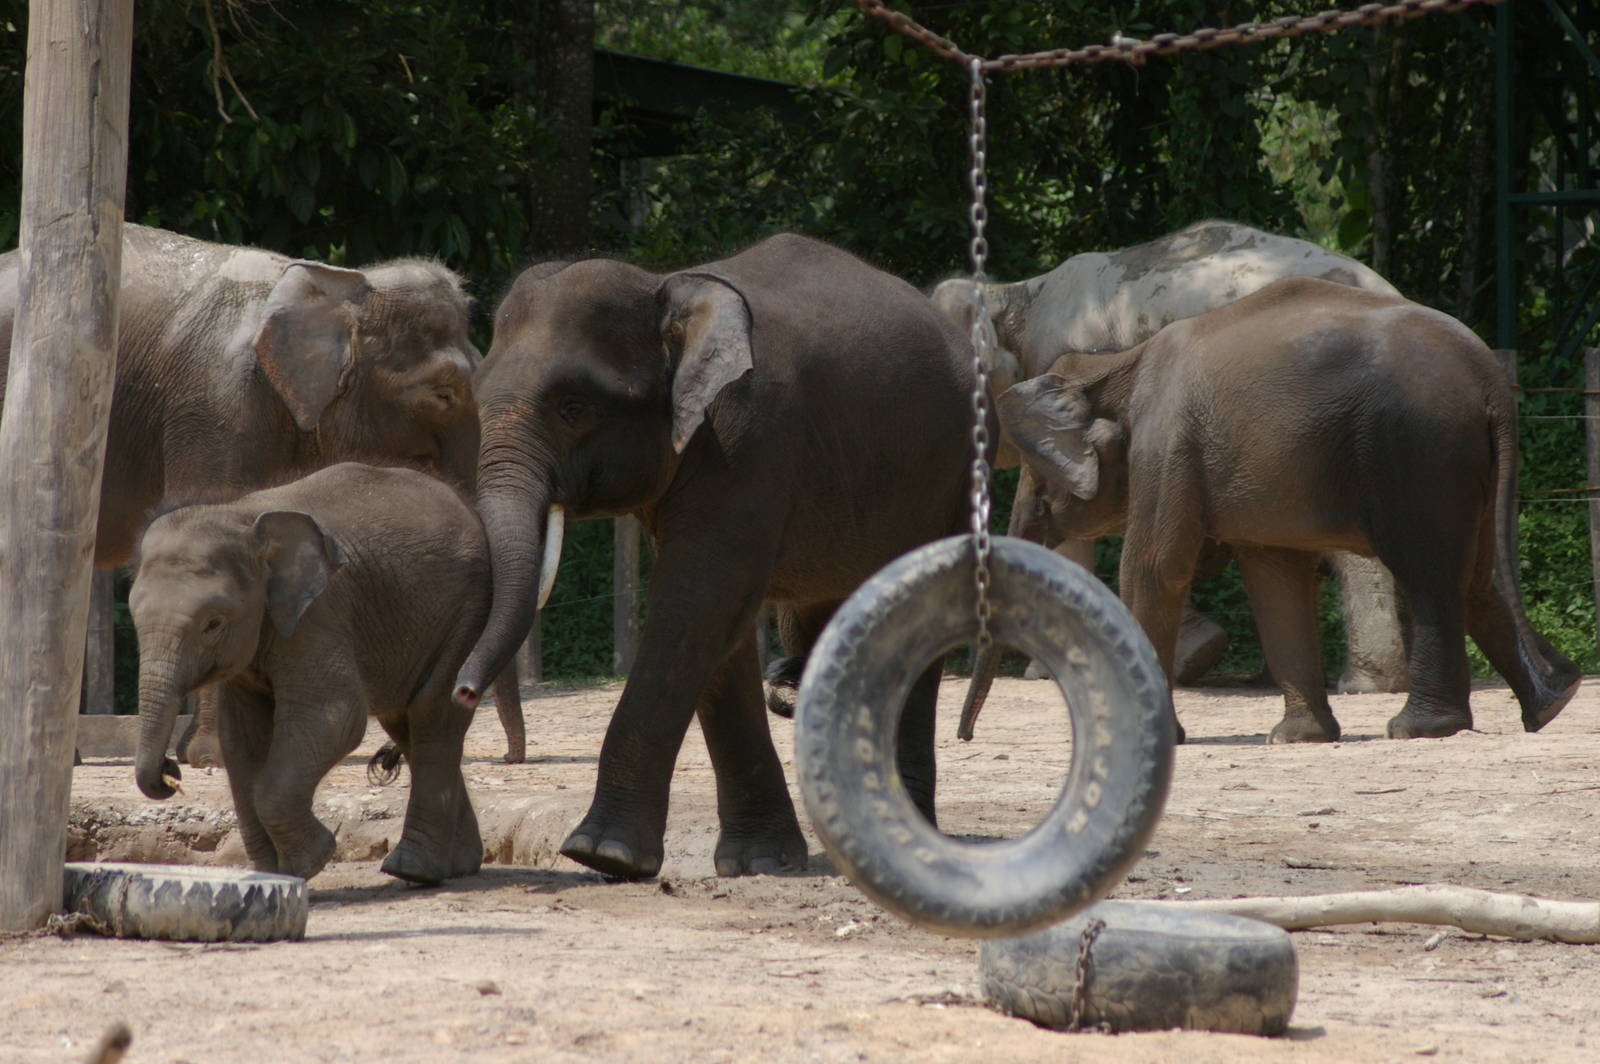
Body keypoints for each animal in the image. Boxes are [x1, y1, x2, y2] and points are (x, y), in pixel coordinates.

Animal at [129, 463, 490, 884]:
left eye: (213, 624)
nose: (170, 769)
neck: (240, 515)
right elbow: (242, 738)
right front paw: (271, 874)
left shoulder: (319, 614)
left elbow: (335, 716)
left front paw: (308, 863)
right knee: (406, 726)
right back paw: (458, 866)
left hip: (464, 615)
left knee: (432, 718)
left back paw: (412, 871)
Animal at [450, 233, 978, 879]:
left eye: (574, 407)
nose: (462, 691)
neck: (668, 287)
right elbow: (718, 620)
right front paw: (760, 863)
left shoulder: (750, 438)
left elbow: (698, 596)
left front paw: (602, 854)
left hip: (958, 469)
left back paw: (904, 841)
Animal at [978, 276, 1579, 744]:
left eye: (1034, 474)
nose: (964, 736)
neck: (1118, 361)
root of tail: (1490, 376)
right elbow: (1274, 578)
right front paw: (1297, 738)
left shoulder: (1167, 443)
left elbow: (1154, 569)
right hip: (1459, 461)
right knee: (1476, 579)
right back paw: (1553, 703)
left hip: (1417, 449)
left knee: (1428, 573)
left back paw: (1417, 729)